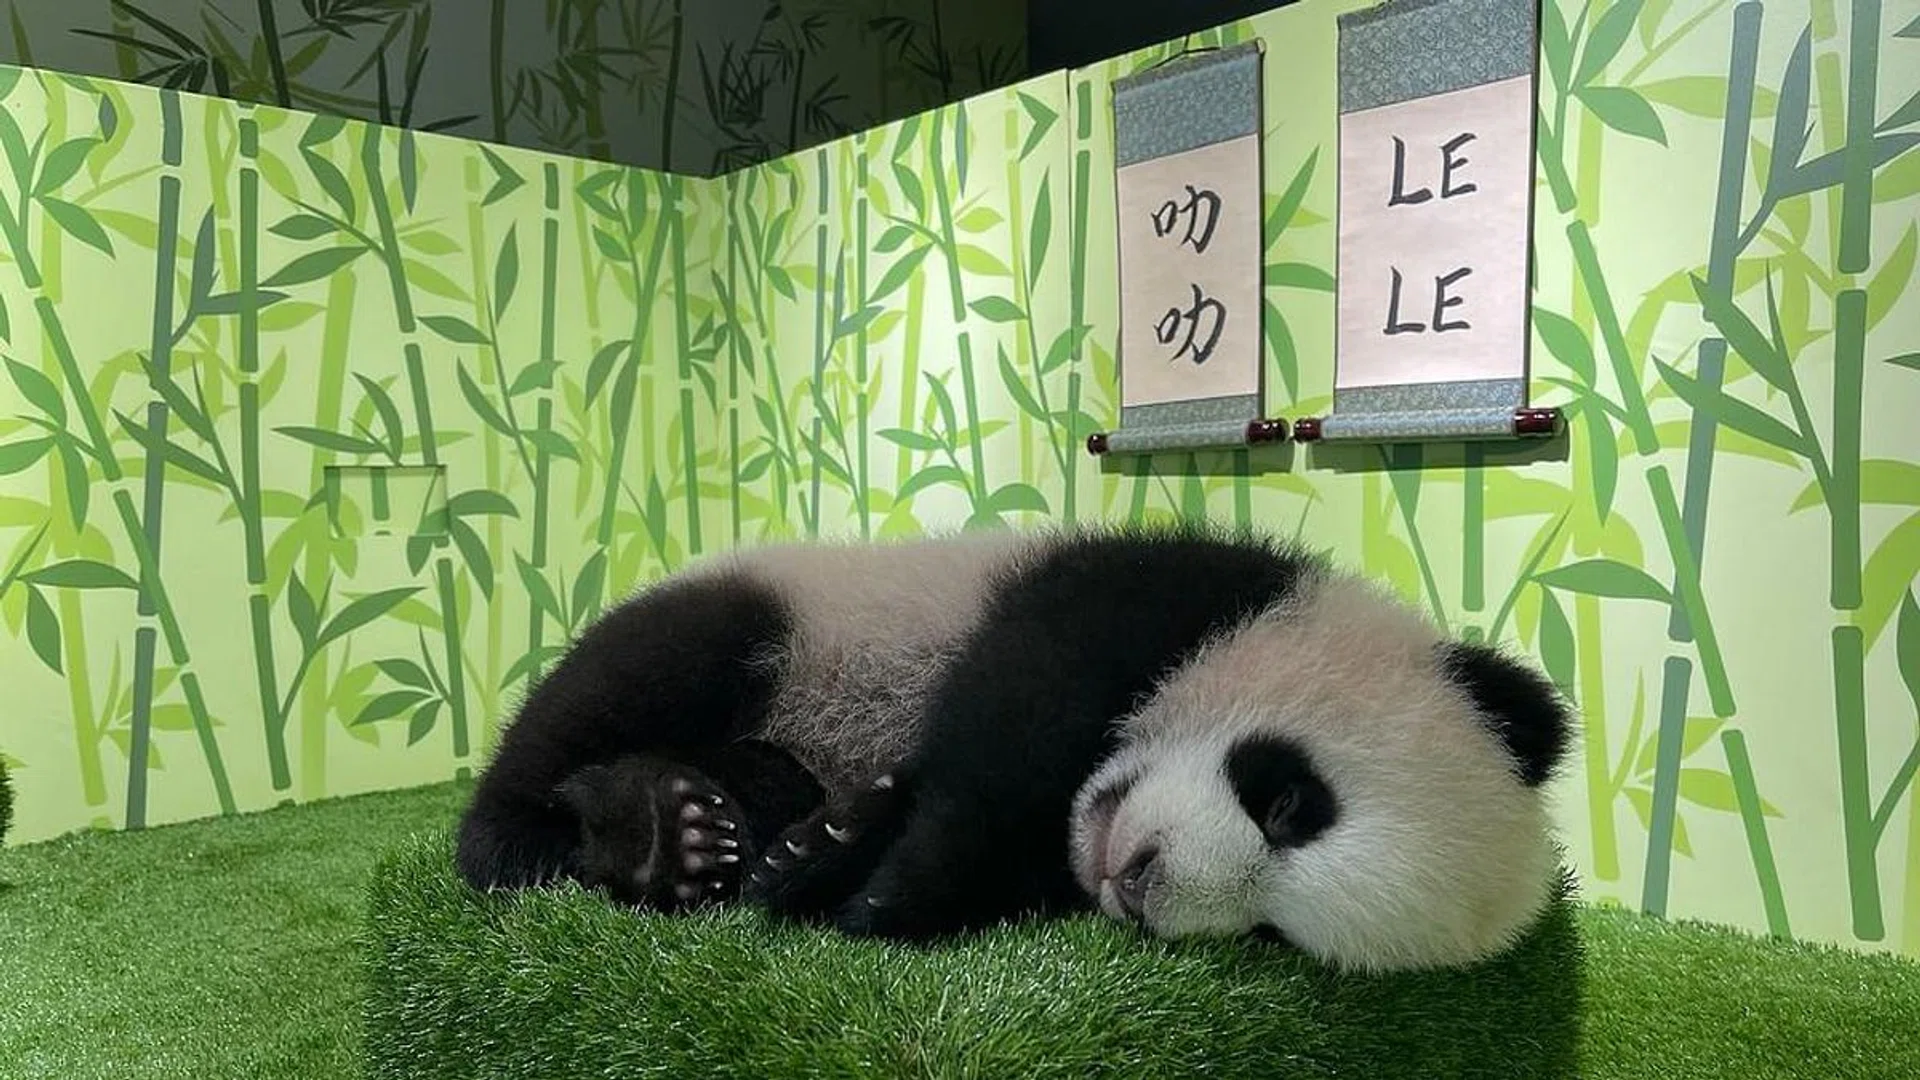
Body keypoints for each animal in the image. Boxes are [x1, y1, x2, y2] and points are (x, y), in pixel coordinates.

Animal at [454, 520, 1572, 973]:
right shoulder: (1155, 588)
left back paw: (683, 833)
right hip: (786, 609)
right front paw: (884, 891)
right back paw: (553, 834)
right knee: (631, 679)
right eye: (1292, 802)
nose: (1139, 879)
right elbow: (1015, 710)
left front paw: (833, 857)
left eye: (1272, 936)